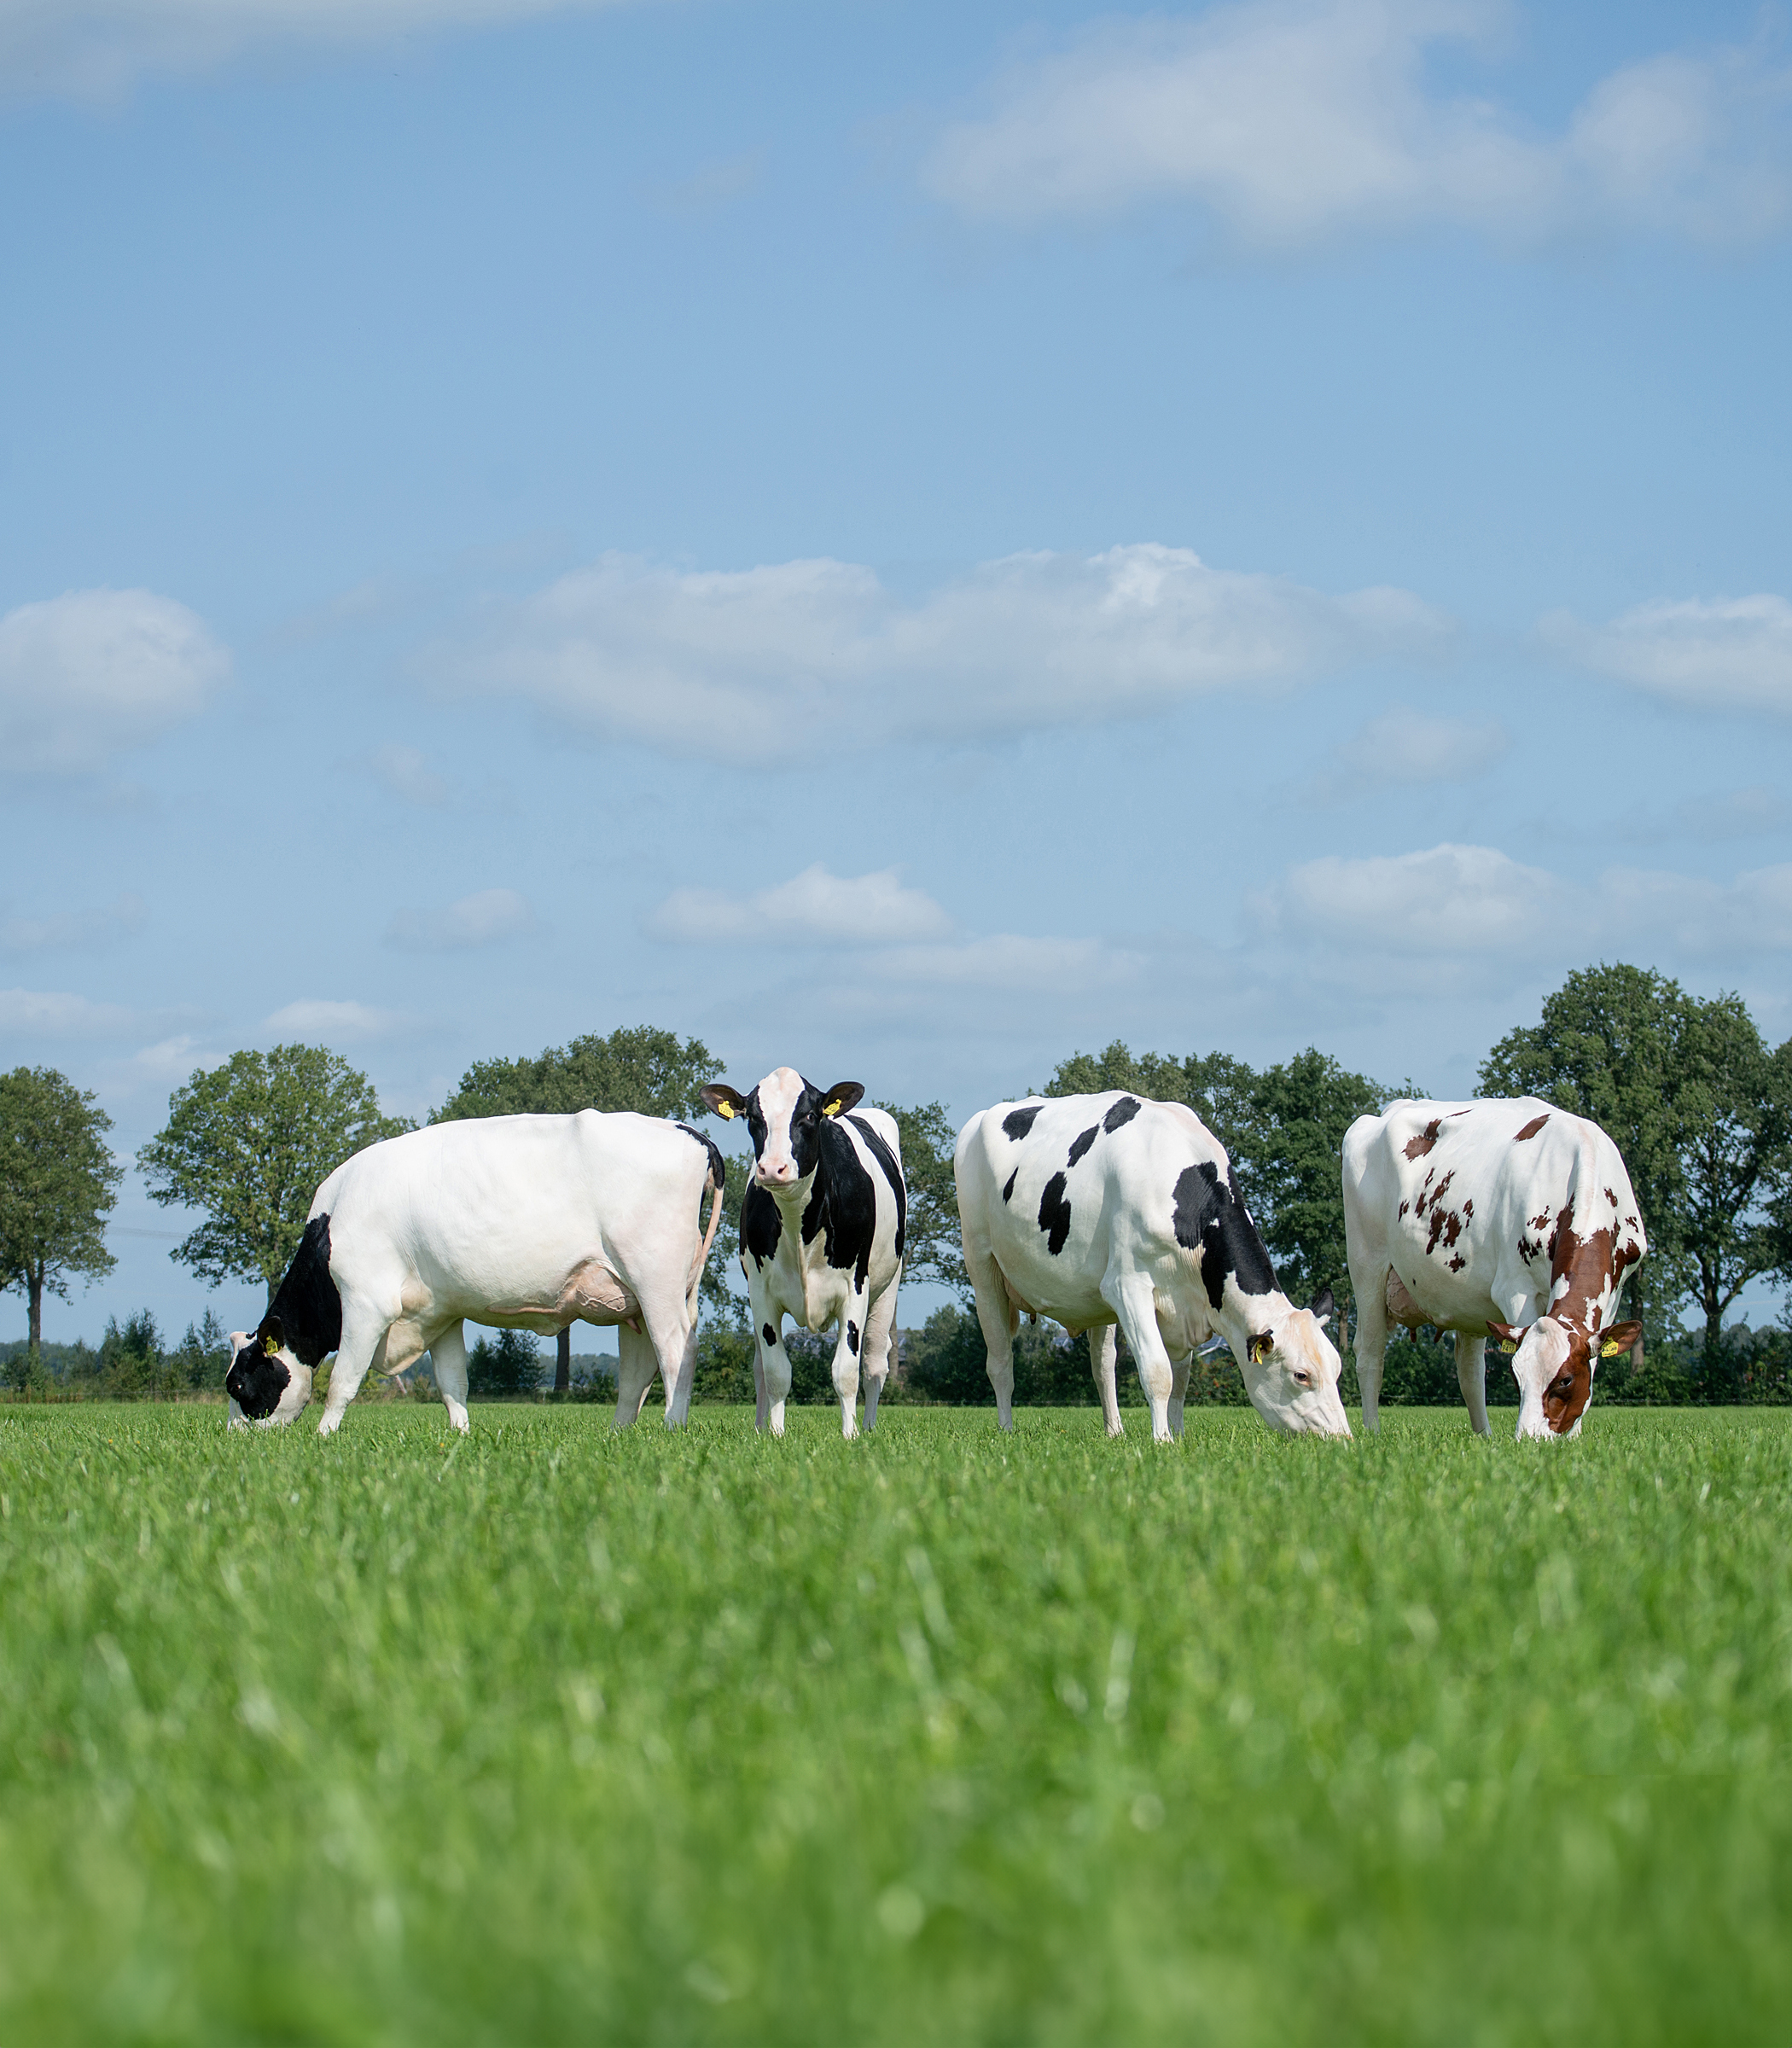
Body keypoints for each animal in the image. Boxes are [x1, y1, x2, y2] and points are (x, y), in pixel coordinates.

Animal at [221, 1114, 724, 1434]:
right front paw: (460, 1436)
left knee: (677, 1350)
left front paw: (324, 1437)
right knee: (638, 1368)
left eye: (239, 1385)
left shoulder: (367, 1303)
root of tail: (688, 1132)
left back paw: (672, 1427)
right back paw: (618, 1435)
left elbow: (344, 1380)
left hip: (655, 1280)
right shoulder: (440, 1312)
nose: (231, 1438)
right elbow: (452, 1382)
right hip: (634, 1298)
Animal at [696, 1073, 905, 1441]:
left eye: (809, 1115)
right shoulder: (761, 1294)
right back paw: (760, 1426)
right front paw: (776, 1434)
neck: (799, 1226)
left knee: (875, 1365)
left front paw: (850, 1435)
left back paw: (867, 1426)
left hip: (888, 1288)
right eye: (753, 1118)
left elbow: (845, 1371)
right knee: (759, 1369)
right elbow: (776, 1371)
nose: (772, 1169)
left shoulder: (855, 1287)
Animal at [954, 1089, 1343, 1441]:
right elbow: (1158, 1372)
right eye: (1301, 1375)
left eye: (1337, 1368)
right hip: (982, 1266)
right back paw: (1006, 1430)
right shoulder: (1129, 1287)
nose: (1343, 1438)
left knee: (1102, 1365)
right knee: (1000, 1362)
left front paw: (1178, 1434)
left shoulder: (1182, 1303)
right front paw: (1163, 1441)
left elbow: (1181, 1379)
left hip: (1094, 1295)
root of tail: (986, 1115)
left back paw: (1114, 1432)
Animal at [1335, 1106, 1646, 1441]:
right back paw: (1373, 1431)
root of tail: (1384, 1112)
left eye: (1566, 1380)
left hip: (1465, 1298)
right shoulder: (1516, 1289)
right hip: (1367, 1267)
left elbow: (1594, 1364)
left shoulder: (1613, 1295)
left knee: (1469, 1369)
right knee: (1370, 1354)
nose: (1529, 1439)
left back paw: (1485, 1436)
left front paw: (1573, 1437)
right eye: (1515, 1376)